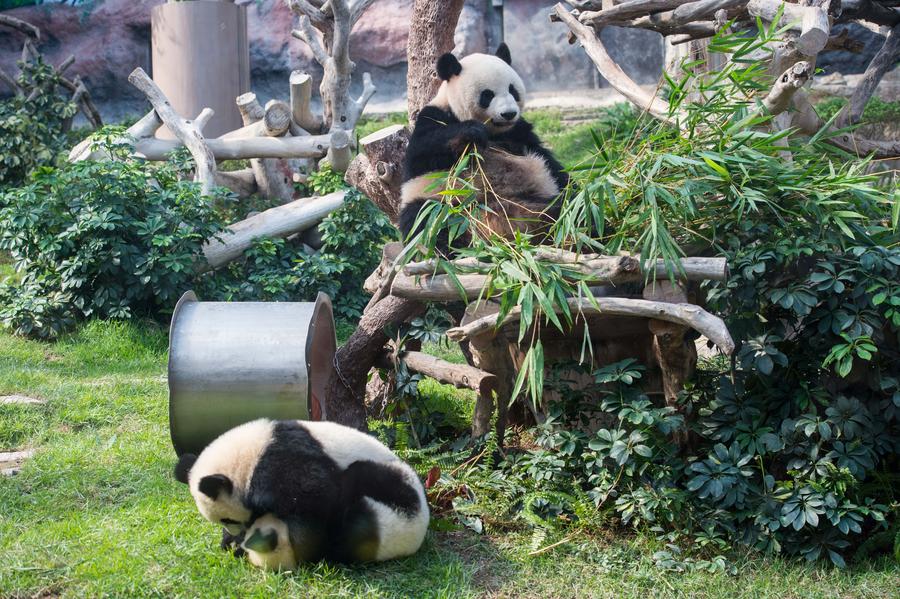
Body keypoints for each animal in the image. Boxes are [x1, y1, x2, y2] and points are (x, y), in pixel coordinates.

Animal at [176, 420, 432, 568]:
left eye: (227, 518)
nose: (235, 533)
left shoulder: (281, 463)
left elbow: (316, 497)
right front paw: (230, 544)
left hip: (393, 495)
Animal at [398, 42, 568, 248]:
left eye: (513, 90)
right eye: (487, 95)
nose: (509, 114)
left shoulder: (520, 133)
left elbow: (550, 163)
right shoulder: (432, 118)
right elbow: (422, 154)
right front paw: (472, 131)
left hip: (537, 200)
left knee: (569, 206)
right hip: (441, 203)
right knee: (426, 221)